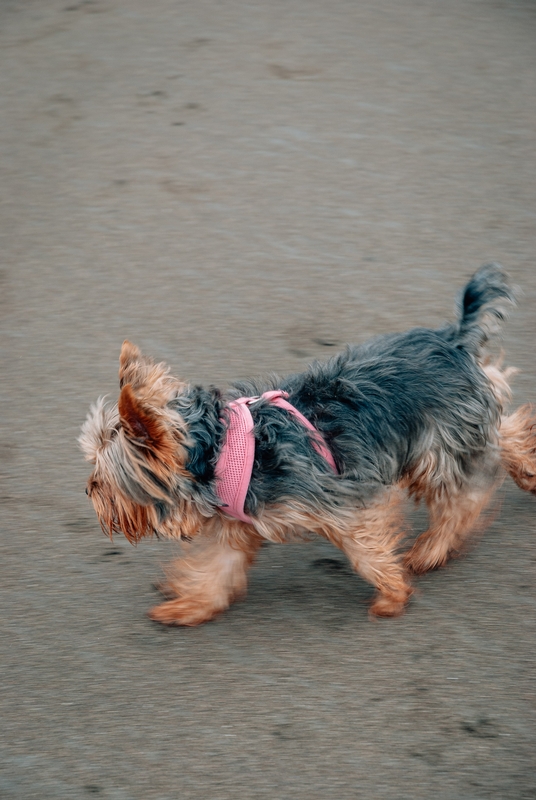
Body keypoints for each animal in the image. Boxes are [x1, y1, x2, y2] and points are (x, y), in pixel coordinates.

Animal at [79, 266, 536, 620]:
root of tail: (452, 339)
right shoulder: (238, 523)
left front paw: (392, 594)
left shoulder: (342, 502)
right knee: (503, 435)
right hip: (461, 428)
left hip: (439, 444)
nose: (87, 489)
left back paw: (431, 550)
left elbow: (366, 553)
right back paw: (528, 470)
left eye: (103, 475)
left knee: (465, 496)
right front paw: (188, 607)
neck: (218, 452)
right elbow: (216, 569)